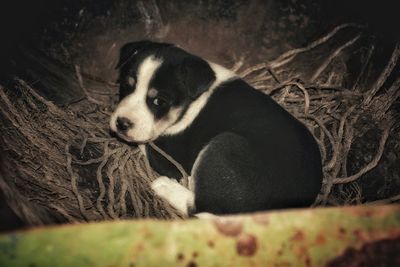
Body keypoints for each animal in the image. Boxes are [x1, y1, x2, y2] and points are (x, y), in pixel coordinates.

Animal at [111, 42, 324, 218]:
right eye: (125, 86)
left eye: (159, 101)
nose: (122, 123)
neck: (193, 99)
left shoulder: (168, 157)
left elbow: (144, 143)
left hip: (223, 145)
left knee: (199, 209)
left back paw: (166, 187)